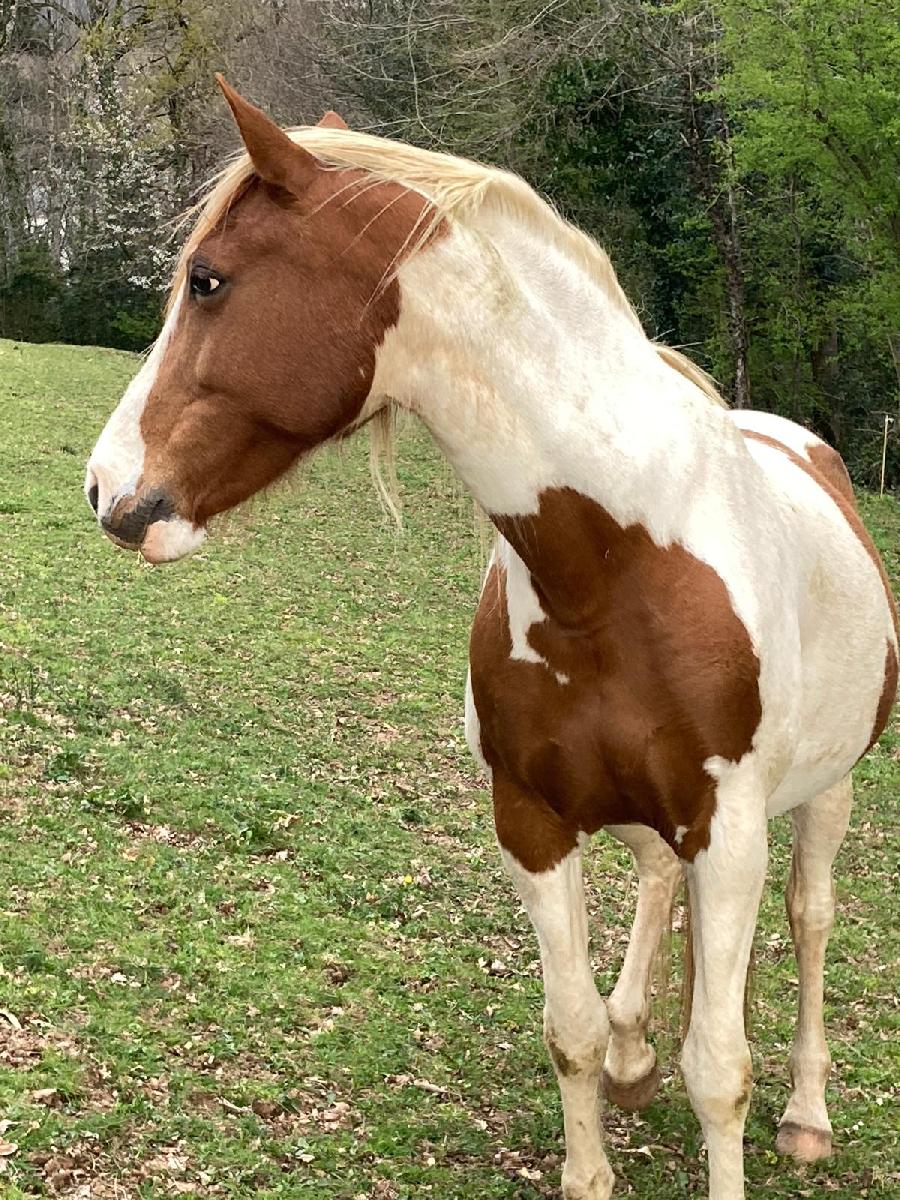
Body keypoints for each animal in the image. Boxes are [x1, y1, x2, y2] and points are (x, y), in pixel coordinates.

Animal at [85, 77, 897, 1200]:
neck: (621, 561)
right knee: (657, 893)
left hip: (827, 793)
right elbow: (573, 1030)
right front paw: (600, 1127)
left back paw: (808, 1115)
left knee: (810, 921)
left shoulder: (729, 829)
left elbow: (722, 1069)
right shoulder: (534, 822)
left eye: (208, 282)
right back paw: (641, 1048)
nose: (107, 489)